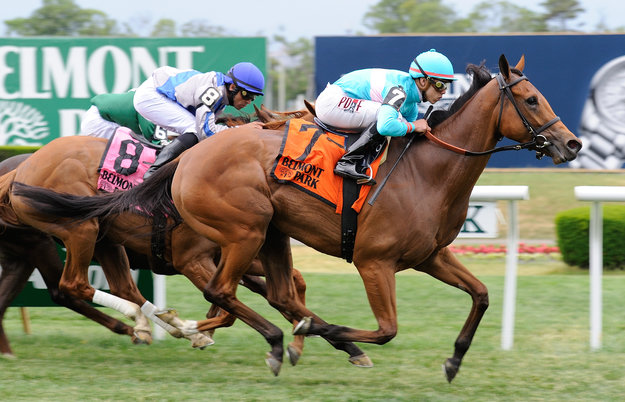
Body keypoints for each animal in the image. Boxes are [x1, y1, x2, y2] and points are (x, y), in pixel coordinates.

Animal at [6, 55, 580, 380]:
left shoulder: (431, 256)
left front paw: (454, 360)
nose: (571, 144)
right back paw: (259, 339)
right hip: (234, 229)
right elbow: (385, 329)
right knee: (156, 288)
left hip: (261, 234)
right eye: (531, 99)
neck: (428, 172)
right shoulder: (373, 262)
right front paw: (321, 334)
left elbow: (481, 296)